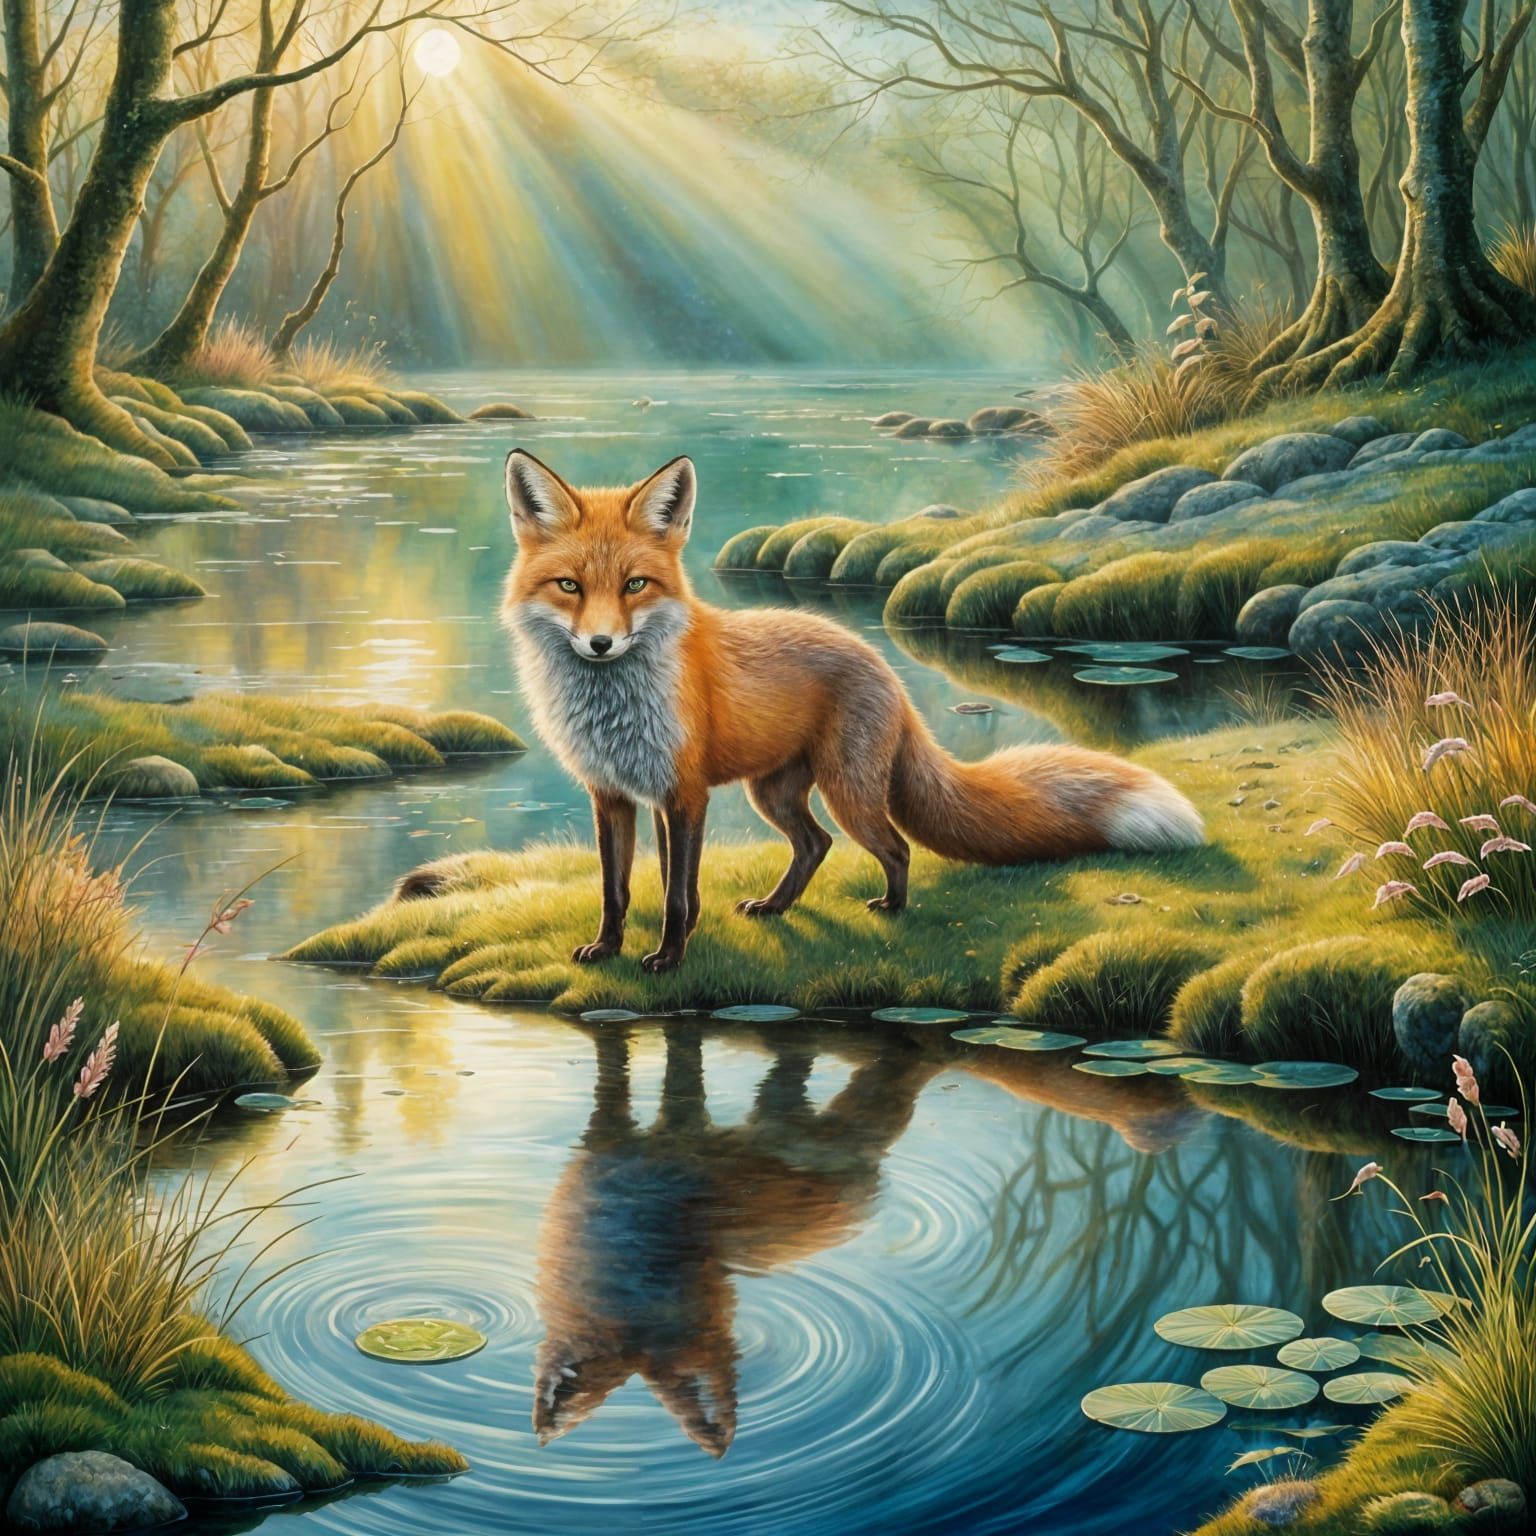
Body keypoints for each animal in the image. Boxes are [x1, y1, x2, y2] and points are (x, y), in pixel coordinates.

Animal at [499, 448, 1204, 972]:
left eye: (635, 585)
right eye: (570, 586)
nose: (600, 643)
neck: (613, 710)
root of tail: (882, 663)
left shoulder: (685, 793)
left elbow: (678, 894)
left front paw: (670, 959)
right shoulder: (616, 793)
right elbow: (617, 887)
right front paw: (608, 949)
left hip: (845, 790)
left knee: (893, 847)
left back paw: (893, 908)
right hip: (773, 792)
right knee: (816, 845)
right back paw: (776, 908)